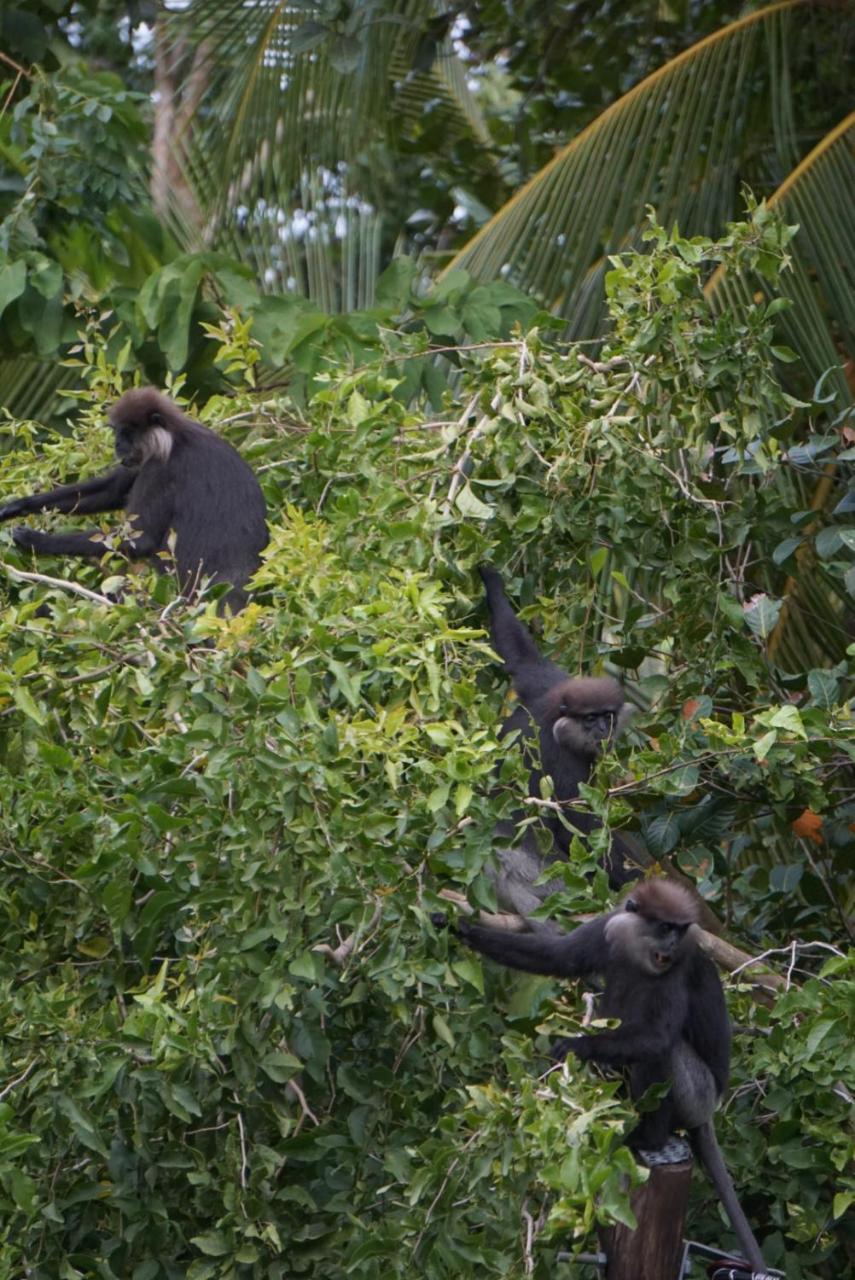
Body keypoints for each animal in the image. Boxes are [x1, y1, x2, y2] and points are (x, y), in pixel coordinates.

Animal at [0, 386, 267, 611]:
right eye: (118, 433)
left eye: (127, 433)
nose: (117, 445)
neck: (175, 438)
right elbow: (113, 491)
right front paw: (15, 506)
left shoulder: (160, 467)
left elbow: (142, 539)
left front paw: (34, 540)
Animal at [447, 880, 767, 1280]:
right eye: (665, 927)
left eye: (679, 931)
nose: (672, 943)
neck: (640, 951)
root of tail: (710, 1110)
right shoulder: (607, 927)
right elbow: (557, 957)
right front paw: (459, 927)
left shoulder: (681, 965)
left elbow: (657, 1037)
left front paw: (576, 1046)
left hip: (699, 1095)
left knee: (665, 1052)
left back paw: (649, 1138)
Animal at [481, 560, 639, 921]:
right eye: (590, 718)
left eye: (607, 716)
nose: (602, 731)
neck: (555, 720)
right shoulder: (567, 765)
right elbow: (577, 828)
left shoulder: (546, 684)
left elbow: (520, 655)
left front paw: (490, 580)